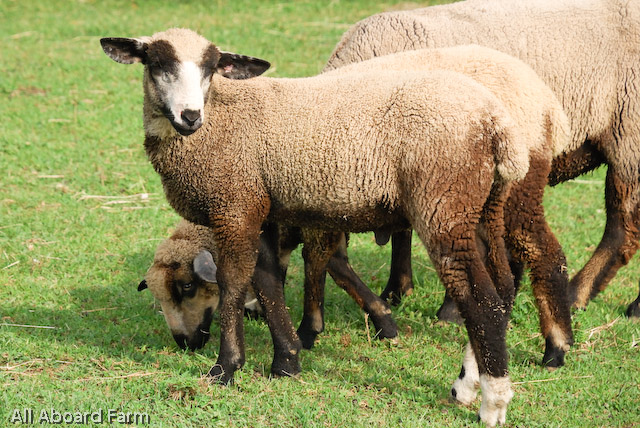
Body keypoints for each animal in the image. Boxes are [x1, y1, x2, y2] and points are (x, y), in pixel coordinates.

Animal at [320, 46, 576, 368]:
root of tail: (547, 103)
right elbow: (335, 261)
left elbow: (333, 263)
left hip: (514, 186)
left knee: (541, 251)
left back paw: (554, 348)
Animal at [324, 0, 640, 318]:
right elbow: (403, 232)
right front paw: (396, 291)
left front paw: (449, 310)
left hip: (629, 140)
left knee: (622, 231)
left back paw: (581, 296)